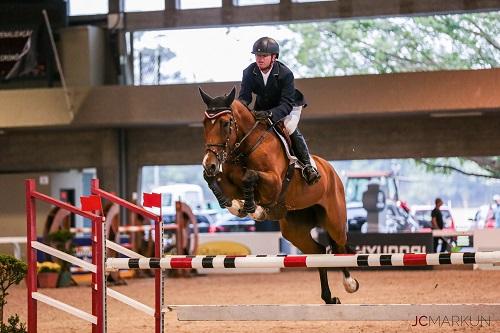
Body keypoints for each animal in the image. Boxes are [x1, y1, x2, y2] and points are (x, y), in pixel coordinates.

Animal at [199, 86, 360, 304]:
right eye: (204, 123)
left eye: (225, 123)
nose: (209, 163)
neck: (246, 146)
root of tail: (331, 170)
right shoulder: (230, 183)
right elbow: (213, 181)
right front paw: (236, 206)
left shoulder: (274, 183)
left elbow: (250, 176)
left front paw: (253, 209)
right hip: (295, 229)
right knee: (318, 252)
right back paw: (328, 297)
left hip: (335, 221)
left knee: (339, 247)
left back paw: (349, 283)